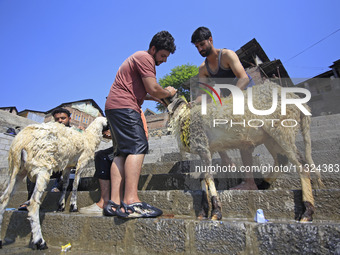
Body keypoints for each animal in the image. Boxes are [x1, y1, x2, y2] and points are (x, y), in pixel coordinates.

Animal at [0, 116, 106, 250]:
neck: (89, 136)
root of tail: (21, 141)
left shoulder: (68, 165)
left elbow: (66, 184)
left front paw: (61, 205)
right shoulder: (81, 162)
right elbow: (75, 184)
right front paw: (73, 206)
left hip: (17, 170)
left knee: (4, 199)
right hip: (42, 165)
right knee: (33, 203)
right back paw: (40, 242)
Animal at [169, 81, 322, 223]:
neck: (184, 117)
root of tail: (301, 104)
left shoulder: (202, 146)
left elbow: (208, 177)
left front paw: (216, 213)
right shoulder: (208, 149)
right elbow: (202, 178)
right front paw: (202, 212)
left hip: (283, 129)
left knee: (302, 165)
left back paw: (307, 213)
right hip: (271, 137)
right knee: (281, 160)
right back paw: (263, 184)